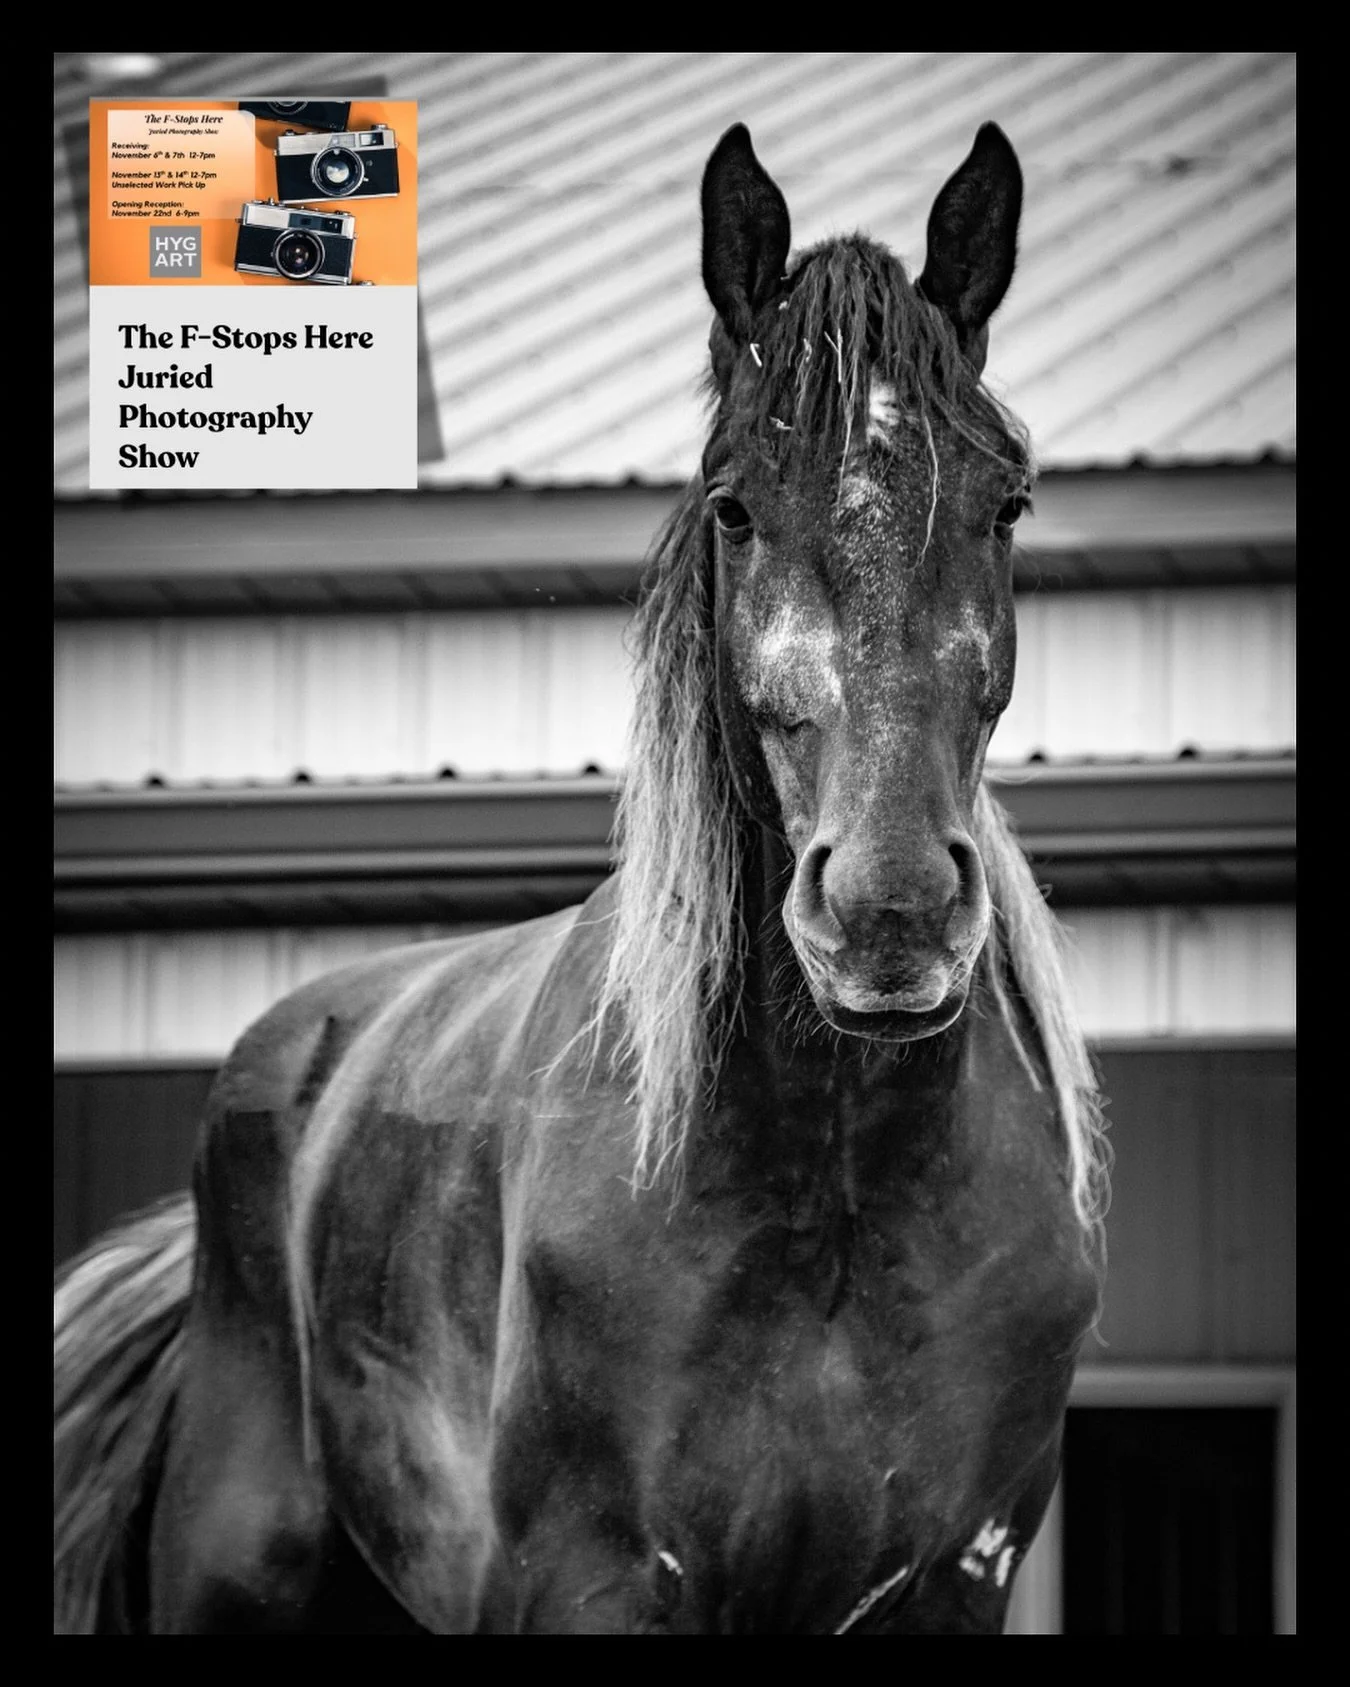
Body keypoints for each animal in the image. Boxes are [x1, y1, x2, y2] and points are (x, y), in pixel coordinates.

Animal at [55, 120, 1108, 1635]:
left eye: (1006, 504)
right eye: (733, 508)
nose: (889, 911)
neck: (834, 1194)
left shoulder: (947, 1587)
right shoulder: (589, 1579)